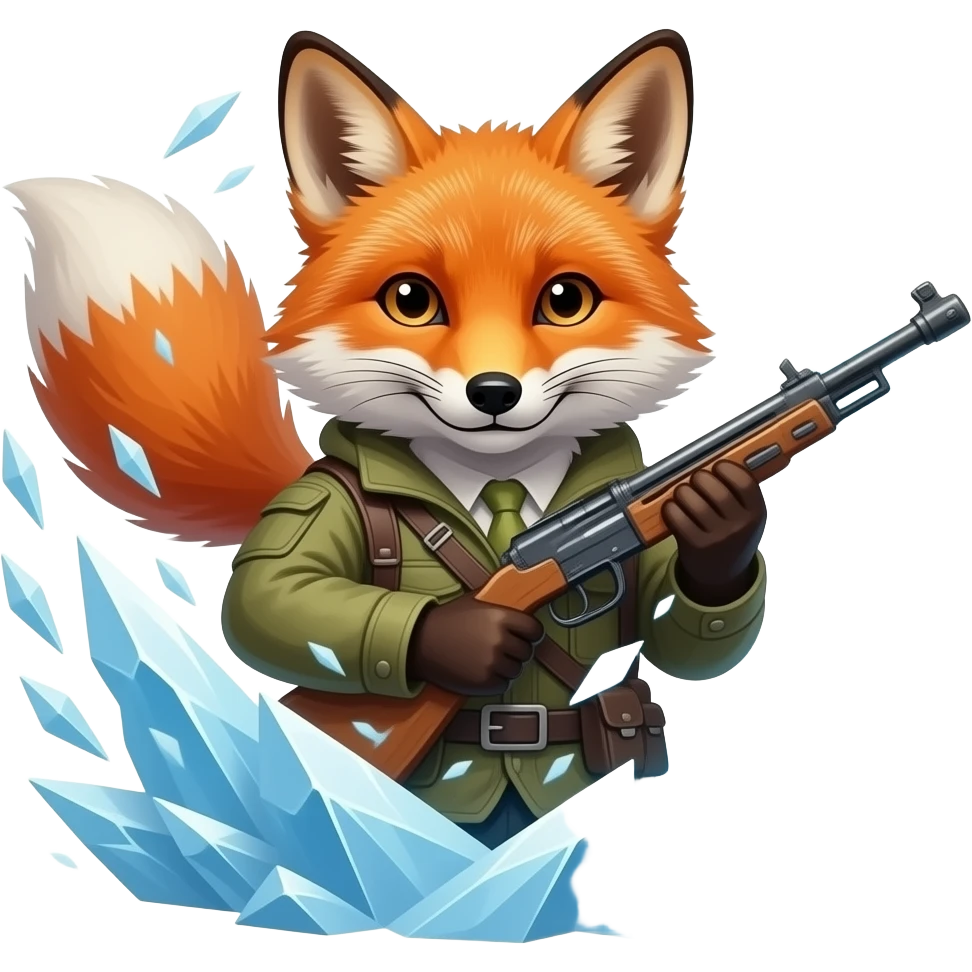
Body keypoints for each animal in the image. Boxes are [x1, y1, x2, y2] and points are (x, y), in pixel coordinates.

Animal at [8, 31, 768, 840]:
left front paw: (725, 524)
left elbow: (675, 627)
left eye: (566, 300)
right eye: (411, 299)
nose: (493, 394)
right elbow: (265, 596)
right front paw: (469, 639)